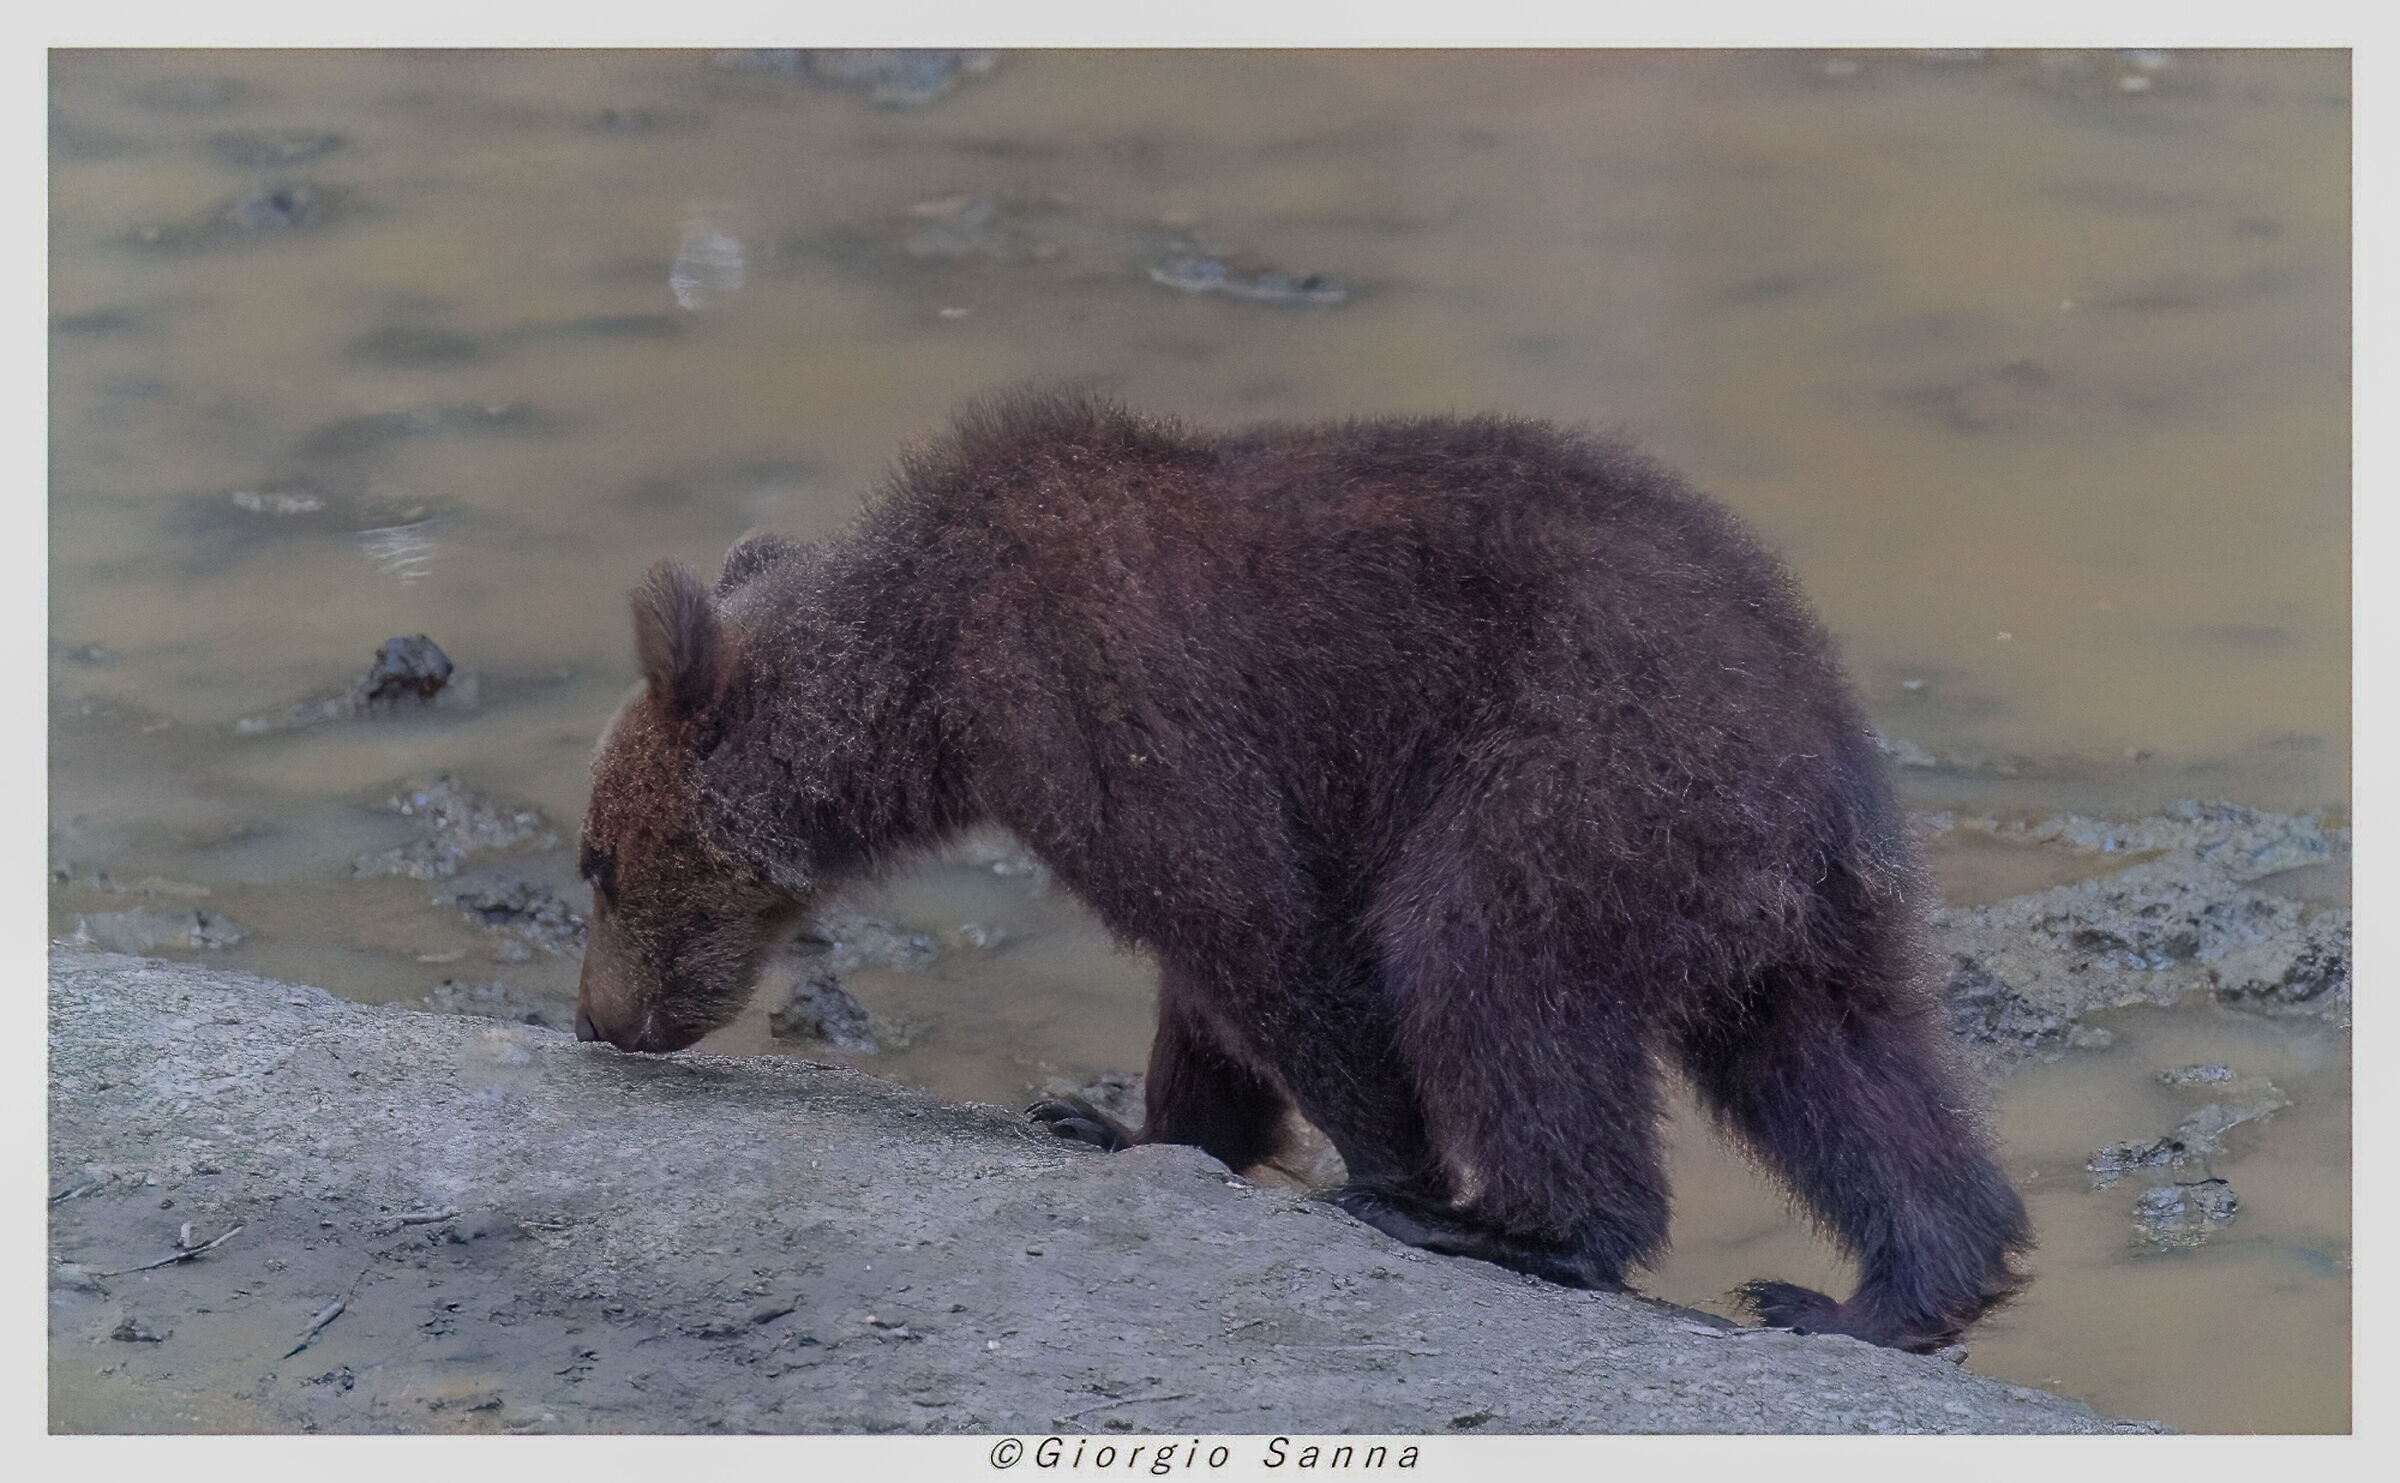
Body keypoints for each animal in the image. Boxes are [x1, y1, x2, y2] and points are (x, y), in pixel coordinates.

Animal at [573, 389, 2031, 1353]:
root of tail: (1819, 734)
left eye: (594, 861)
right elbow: (1206, 980)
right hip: (1770, 886)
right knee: (1844, 1062)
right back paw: (1884, 1290)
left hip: (1583, 763)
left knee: (1484, 961)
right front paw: (1118, 1119)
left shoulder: (1105, 693)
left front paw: (1390, 1167)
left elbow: (1256, 929)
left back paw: (1521, 1226)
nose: (598, 1016)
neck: (924, 683)